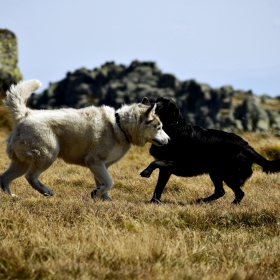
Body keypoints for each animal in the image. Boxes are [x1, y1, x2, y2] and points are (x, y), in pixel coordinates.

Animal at [0, 80, 170, 200]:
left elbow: (104, 183)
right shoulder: (94, 161)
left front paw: (104, 199)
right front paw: (97, 194)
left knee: (4, 178)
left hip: (21, 163)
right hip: (48, 155)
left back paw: (11, 197)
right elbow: (110, 182)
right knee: (30, 177)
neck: (120, 126)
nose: (169, 140)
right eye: (159, 127)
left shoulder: (100, 166)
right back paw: (46, 192)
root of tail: (25, 114)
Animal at [141, 97, 280, 205]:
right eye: (157, 100)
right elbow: (159, 187)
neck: (171, 127)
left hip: (228, 174)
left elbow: (155, 163)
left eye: (163, 104)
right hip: (215, 172)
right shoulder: (166, 170)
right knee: (221, 191)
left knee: (238, 193)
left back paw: (230, 205)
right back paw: (202, 201)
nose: (150, 104)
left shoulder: (174, 162)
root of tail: (247, 146)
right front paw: (153, 202)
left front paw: (145, 172)